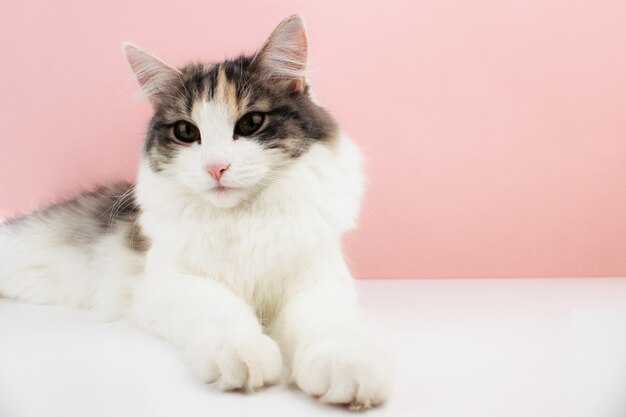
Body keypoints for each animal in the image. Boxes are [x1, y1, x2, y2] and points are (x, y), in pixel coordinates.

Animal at [0, 13, 390, 410]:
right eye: (186, 132)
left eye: (251, 123)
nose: (216, 168)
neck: (241, 218)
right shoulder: (172, 282)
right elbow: (223, 310)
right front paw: (243, 355)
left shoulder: (318, 280)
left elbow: (325, 325)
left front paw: (346, 369)